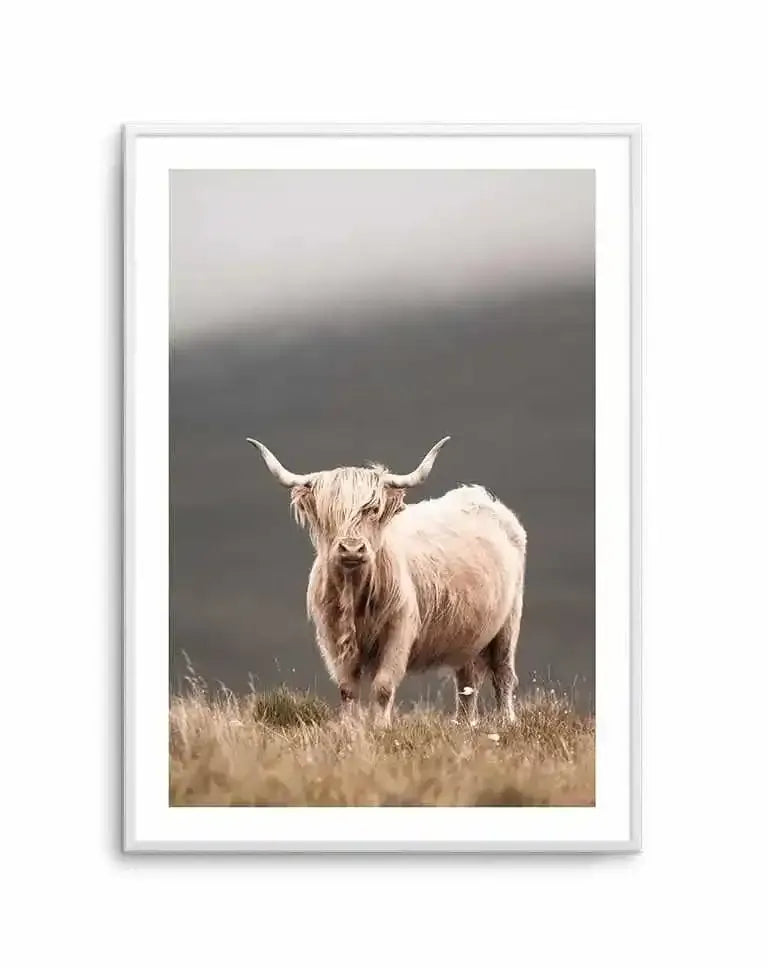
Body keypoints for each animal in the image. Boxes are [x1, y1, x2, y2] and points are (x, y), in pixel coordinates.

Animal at [247, 436, 526, 726]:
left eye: (373, 510)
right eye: (329, 513)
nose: (351, 548)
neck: (355, 595)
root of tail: (479, 496)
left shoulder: (399, 630)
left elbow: (383, 686)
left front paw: (382, 727)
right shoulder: (333, 636)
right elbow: (347, 688)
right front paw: (350, 727)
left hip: (509, 622)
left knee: (503, 674)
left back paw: (507, 721)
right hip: (469, 633)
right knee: (467, 681)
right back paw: (464, 724)